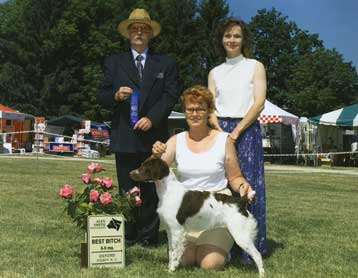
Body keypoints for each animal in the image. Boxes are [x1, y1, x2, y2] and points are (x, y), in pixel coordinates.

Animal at [130, 157, 264, 276]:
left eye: (145, 167)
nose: (130, 173)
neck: (168, 191)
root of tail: (240, 201)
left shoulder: (177, 230)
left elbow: (175, 252)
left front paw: (171, 270)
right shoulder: (169, 230)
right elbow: (171, 251)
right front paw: (169, 268)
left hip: (240, 234)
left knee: (257, 255)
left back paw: (261, 274)